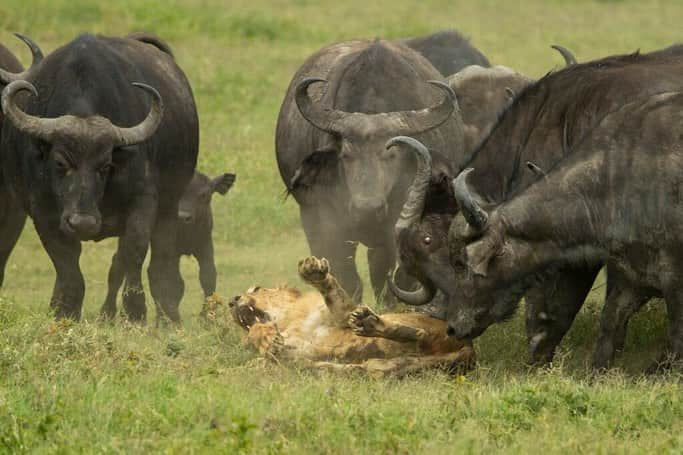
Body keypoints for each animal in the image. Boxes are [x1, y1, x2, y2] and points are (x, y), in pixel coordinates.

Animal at [0, 33, 199, 324]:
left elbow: (133, 256)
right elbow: (68, 267)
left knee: (160, 265)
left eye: (105, 166)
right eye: (59, 163)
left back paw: (168, 317)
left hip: (169, 206)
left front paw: (135, 313)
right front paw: (66, 313)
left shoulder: (143, 202)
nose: (83, 222)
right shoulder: (42, 212)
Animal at [224, 256, 476, 378]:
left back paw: (370, 323)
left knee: (418, 333)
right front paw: (265, 340)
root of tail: (469, 349)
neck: (288, 323)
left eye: (256, 289)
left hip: (410, 323)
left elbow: (331, 290)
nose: (232, 300)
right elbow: (258, 343)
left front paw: (313, 271)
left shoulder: (344, 317)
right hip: (384, 367)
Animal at [448, 91, 683, 372]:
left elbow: (675, 339)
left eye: (460, 263)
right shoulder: (632, 277)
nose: (451, 327)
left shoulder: (675, 281)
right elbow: (609, 326)